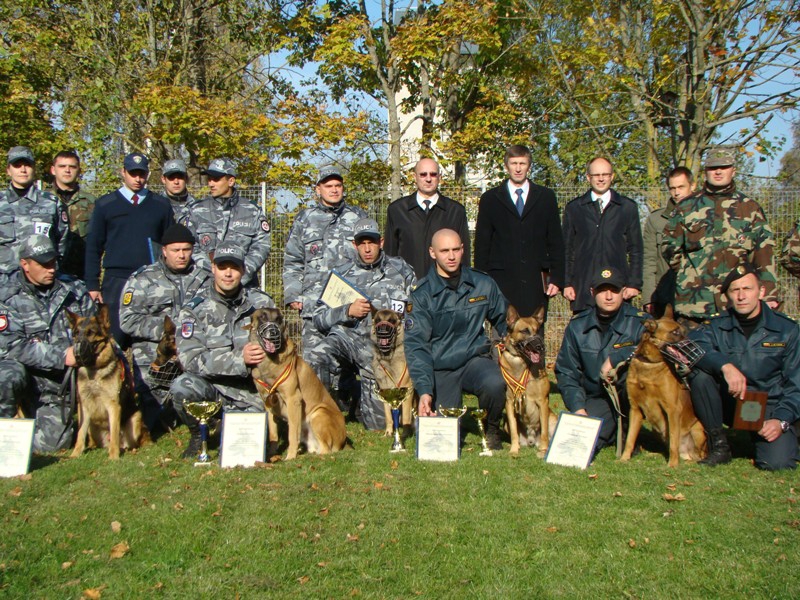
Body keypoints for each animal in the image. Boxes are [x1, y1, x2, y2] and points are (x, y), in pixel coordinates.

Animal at [66, 302, 149, 462]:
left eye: (90, 333)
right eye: (76, 333)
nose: (76, 353)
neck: (95, 372)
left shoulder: (113, 405)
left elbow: (115, 432)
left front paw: (113, 457)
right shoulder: (83, 405)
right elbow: (80, 434)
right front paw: (75, 454)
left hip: (136, 419)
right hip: (92, 426)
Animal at [247, 310, 346, 460]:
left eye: (279, 319)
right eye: (262, 317)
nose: (273, 332)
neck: (269, 361)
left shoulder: (293, 399)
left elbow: (292, 433)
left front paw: (290, 456)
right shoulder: (268, 403)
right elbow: (273, 434)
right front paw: (272, 455)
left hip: (318, 413)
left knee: (326, 450)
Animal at [500, 308, 556, 458]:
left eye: (537, 331)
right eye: (525, 331)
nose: (541, 346)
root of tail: (531, 440)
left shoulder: (542, 402)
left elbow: (544, 433)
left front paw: (543, 451)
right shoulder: (509, 403)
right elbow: (514, 432)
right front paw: (514, 450)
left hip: (553, 419)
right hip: (506, 423)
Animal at [624, 304, 708, 468]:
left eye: (684, 331)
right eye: (675, 332)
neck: (649, 363)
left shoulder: (673, 409)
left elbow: (674, 441)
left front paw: (672, 465)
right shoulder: (635, 409)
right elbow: (630, 439)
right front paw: (623, 459)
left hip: (698, 429)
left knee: (697, 455)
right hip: (657, 430)